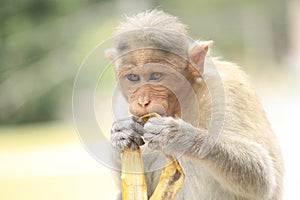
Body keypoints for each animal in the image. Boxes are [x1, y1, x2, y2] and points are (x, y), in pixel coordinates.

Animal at [105, 9, 284, 200]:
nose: (142, 101)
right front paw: (121, 133)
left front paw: (178, 136)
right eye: (133, 78)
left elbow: (263, 177)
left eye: (156, 76)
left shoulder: (226, 89)